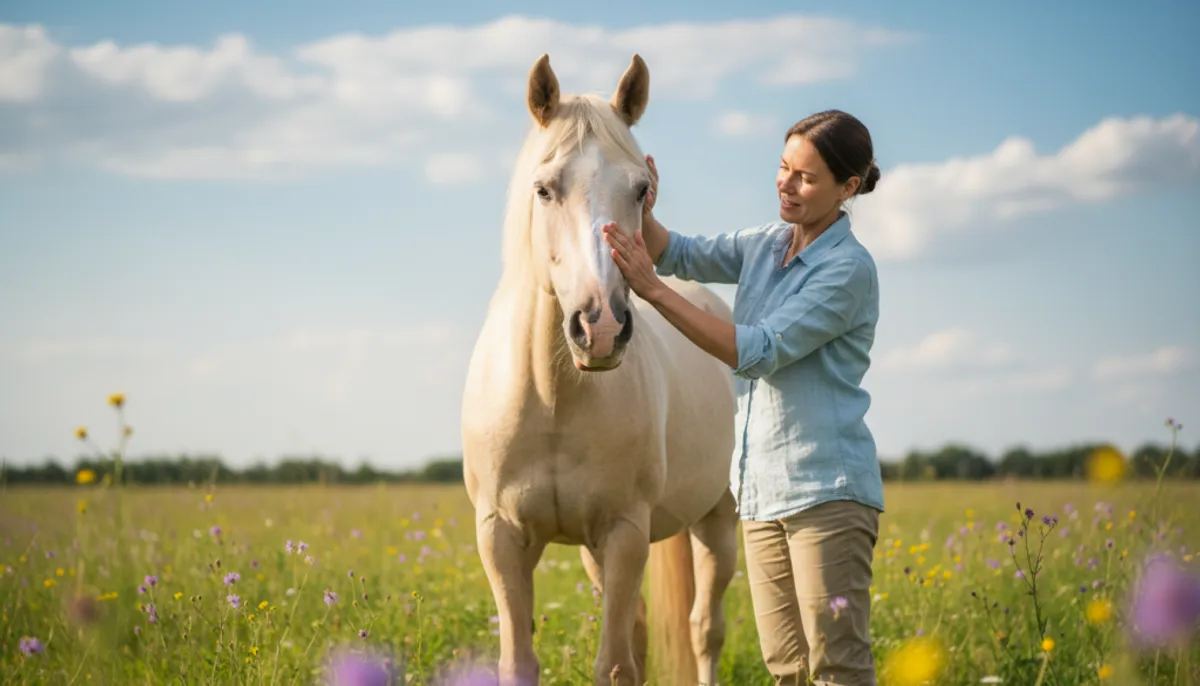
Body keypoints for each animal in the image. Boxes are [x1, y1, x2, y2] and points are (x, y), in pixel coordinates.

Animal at [461, 52, 739, 686]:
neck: (553, 399)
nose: (602, 326)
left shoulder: (624, 533)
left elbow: (614, 666)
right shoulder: (502, 537)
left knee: (704, 630)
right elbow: (522, 660)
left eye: (641, 189)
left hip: (718, 519)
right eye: (543, 189)